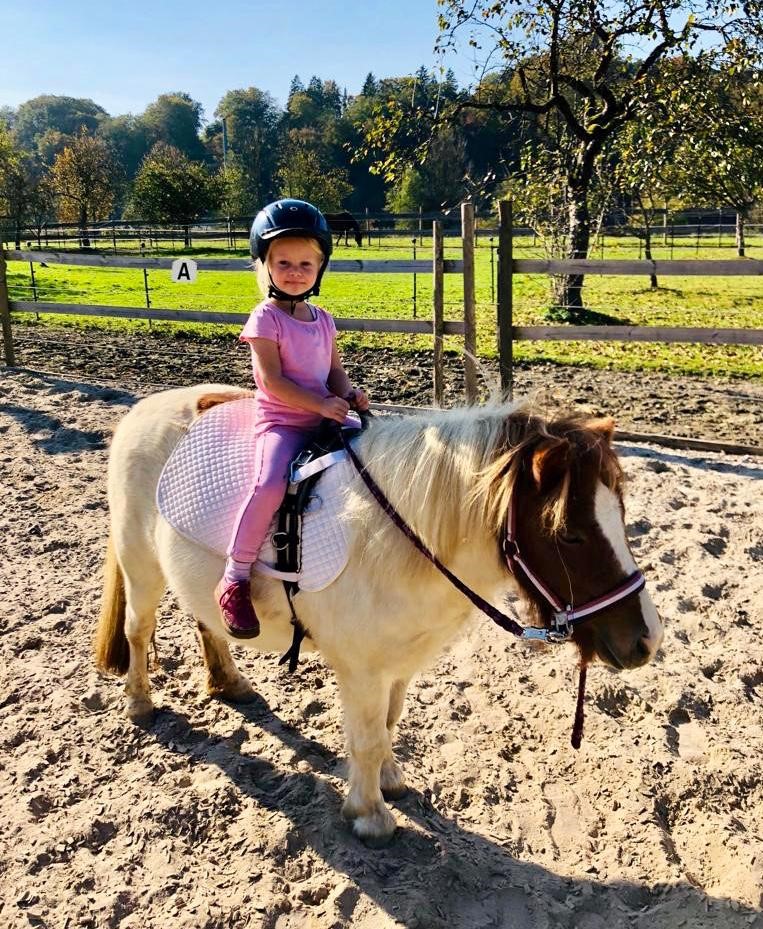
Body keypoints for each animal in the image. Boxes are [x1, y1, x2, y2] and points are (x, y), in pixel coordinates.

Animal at [94, 384, 664, 840]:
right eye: (568, 533)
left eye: (621, 514)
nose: (648, 640)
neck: (394, 537)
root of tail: (145, 407)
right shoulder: (361, 669)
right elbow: (366, 739)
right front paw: (368, 814)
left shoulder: (400, 661)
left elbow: (389, 724)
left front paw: (390, 780)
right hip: (141, 564)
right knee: (139, 630)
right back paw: (140, 703)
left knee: (207, 622)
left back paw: (228, 682)